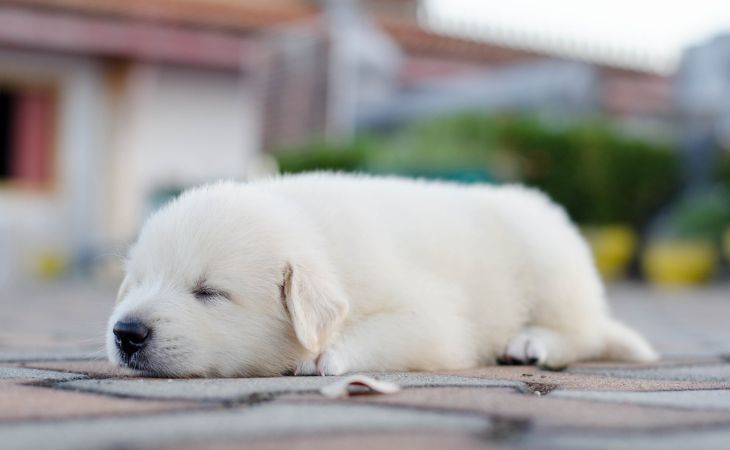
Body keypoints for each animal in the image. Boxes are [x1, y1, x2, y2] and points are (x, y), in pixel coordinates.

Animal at [106, 172, 656, 376]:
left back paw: (531, 342)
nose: (125, 333)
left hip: (550, 264)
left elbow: (386, 331)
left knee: (581, 333)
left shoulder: (433, 320)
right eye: (139, 284)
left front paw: (322, 354)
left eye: (210, 292)